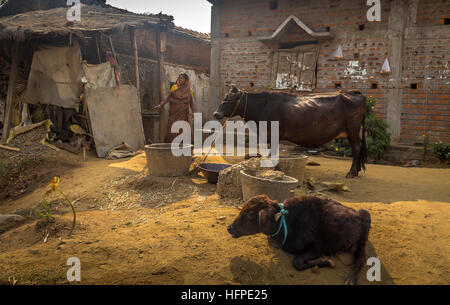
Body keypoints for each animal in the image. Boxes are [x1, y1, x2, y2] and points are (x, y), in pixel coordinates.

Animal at [213, 85, 368, 177]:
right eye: (224, 98)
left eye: (229, 99)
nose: (215, 113)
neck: (263, 107)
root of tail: (354, 92)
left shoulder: (274, 134)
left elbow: (273, 153)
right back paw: (357, 170)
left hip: (353, 130)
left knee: (356, 148)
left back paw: (352, 172)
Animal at [227, 194, 370, 284]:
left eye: (250, 213)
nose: (230, 228)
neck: (285, 222)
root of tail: (357, 213)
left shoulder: (316, 248)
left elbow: (297, 262)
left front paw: (327, 261)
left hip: (362, 238)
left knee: (361, 257)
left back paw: (351, 278)